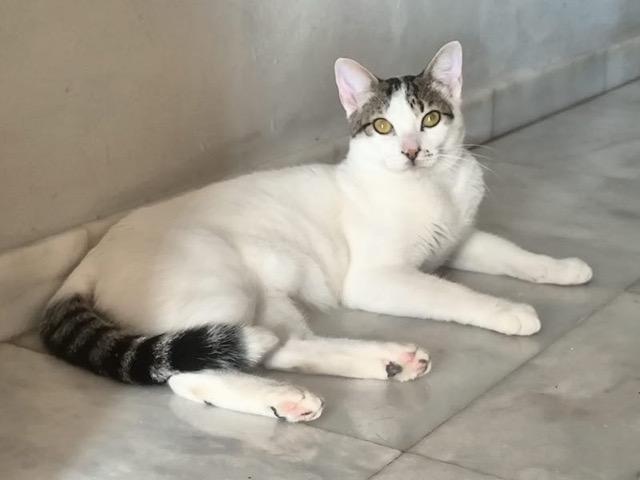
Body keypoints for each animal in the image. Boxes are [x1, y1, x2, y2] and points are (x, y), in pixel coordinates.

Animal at [41, 41, 592, 422]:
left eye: (431, 120)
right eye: (383, 128)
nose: (413, 151)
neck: (436, 189)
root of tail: (90, 257)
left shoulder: (458, 241)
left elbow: (510, 252)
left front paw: (562, 268)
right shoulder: (377, 279)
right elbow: (454, 295)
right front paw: (507, 311)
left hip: (266, 298)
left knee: (280, 346)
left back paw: (388, 361)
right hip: (224, 285)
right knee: (193, 373)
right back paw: (285, 398)